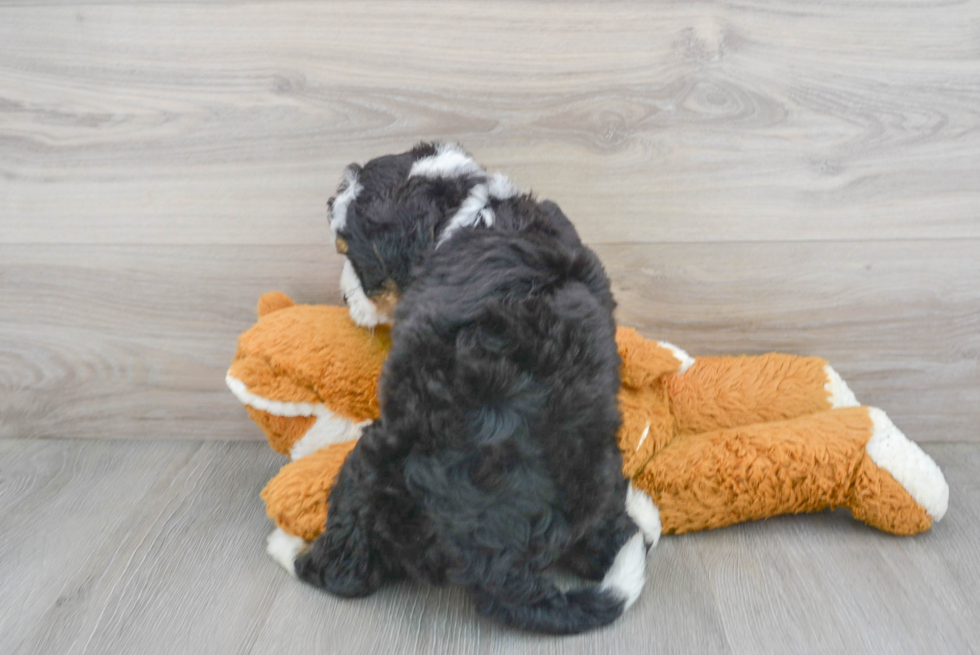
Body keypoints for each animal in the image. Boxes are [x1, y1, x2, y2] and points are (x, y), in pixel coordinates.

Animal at [292, 144, 660, 636]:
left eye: (349, 252)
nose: (345, 300)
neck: (467, 213)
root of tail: (502, 565)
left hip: (376, 459)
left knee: (349, 567)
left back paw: (299, 555)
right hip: (599, 460)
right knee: (611, 535)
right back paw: (638, 521)